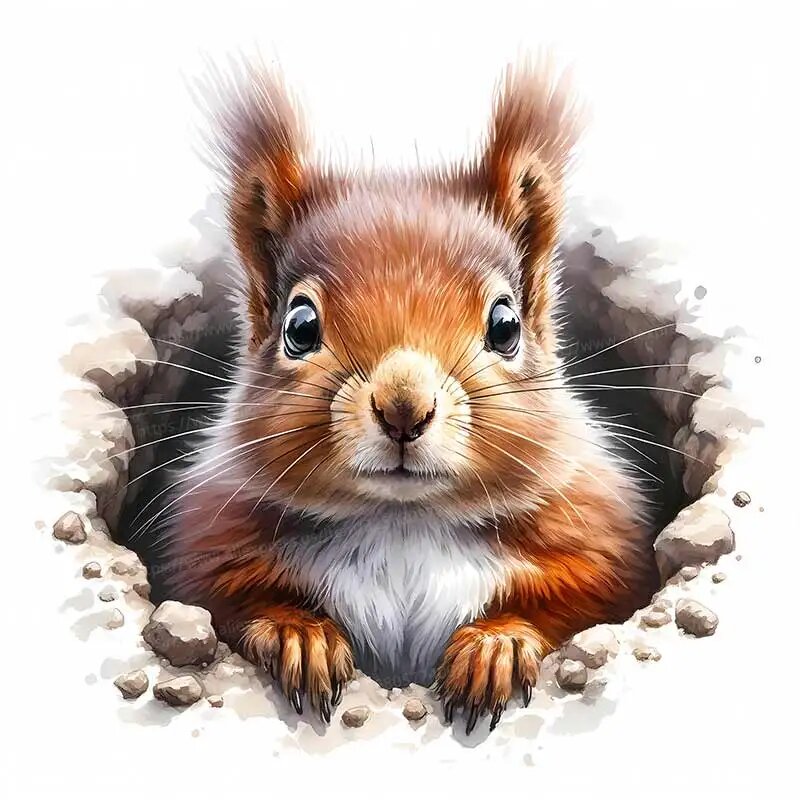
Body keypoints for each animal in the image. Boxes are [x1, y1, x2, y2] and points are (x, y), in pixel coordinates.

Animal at [159, 58, 659, 734]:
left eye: (506, 325)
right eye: (299, 326)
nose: (403, 409)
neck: (402, 525)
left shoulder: (601, 549)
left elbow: (569, 608)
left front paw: (496, 645)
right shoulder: (207, 550)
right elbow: (231, 604)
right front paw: (300, 635)